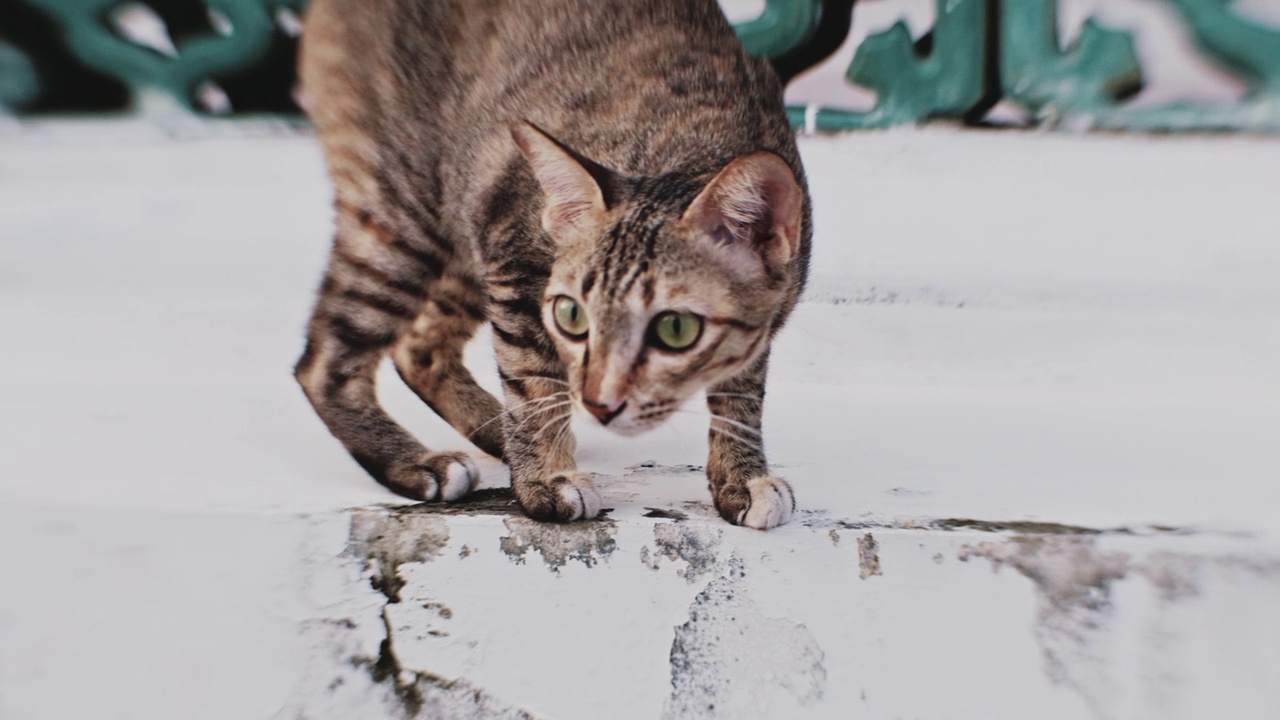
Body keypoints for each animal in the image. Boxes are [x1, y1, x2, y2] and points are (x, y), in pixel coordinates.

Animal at [293, 0, 808, 527]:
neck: (687, 142)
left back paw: (497, 432)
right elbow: (532, 380)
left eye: (675, 329)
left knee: (418, 347)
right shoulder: (514, 260)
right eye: (571, 316)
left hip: (467, 214)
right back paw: (416, 461)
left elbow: (742, 392)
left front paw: (741, 477)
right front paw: (546, 478)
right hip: (405, 210)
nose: (600, 404)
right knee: (321, 360)